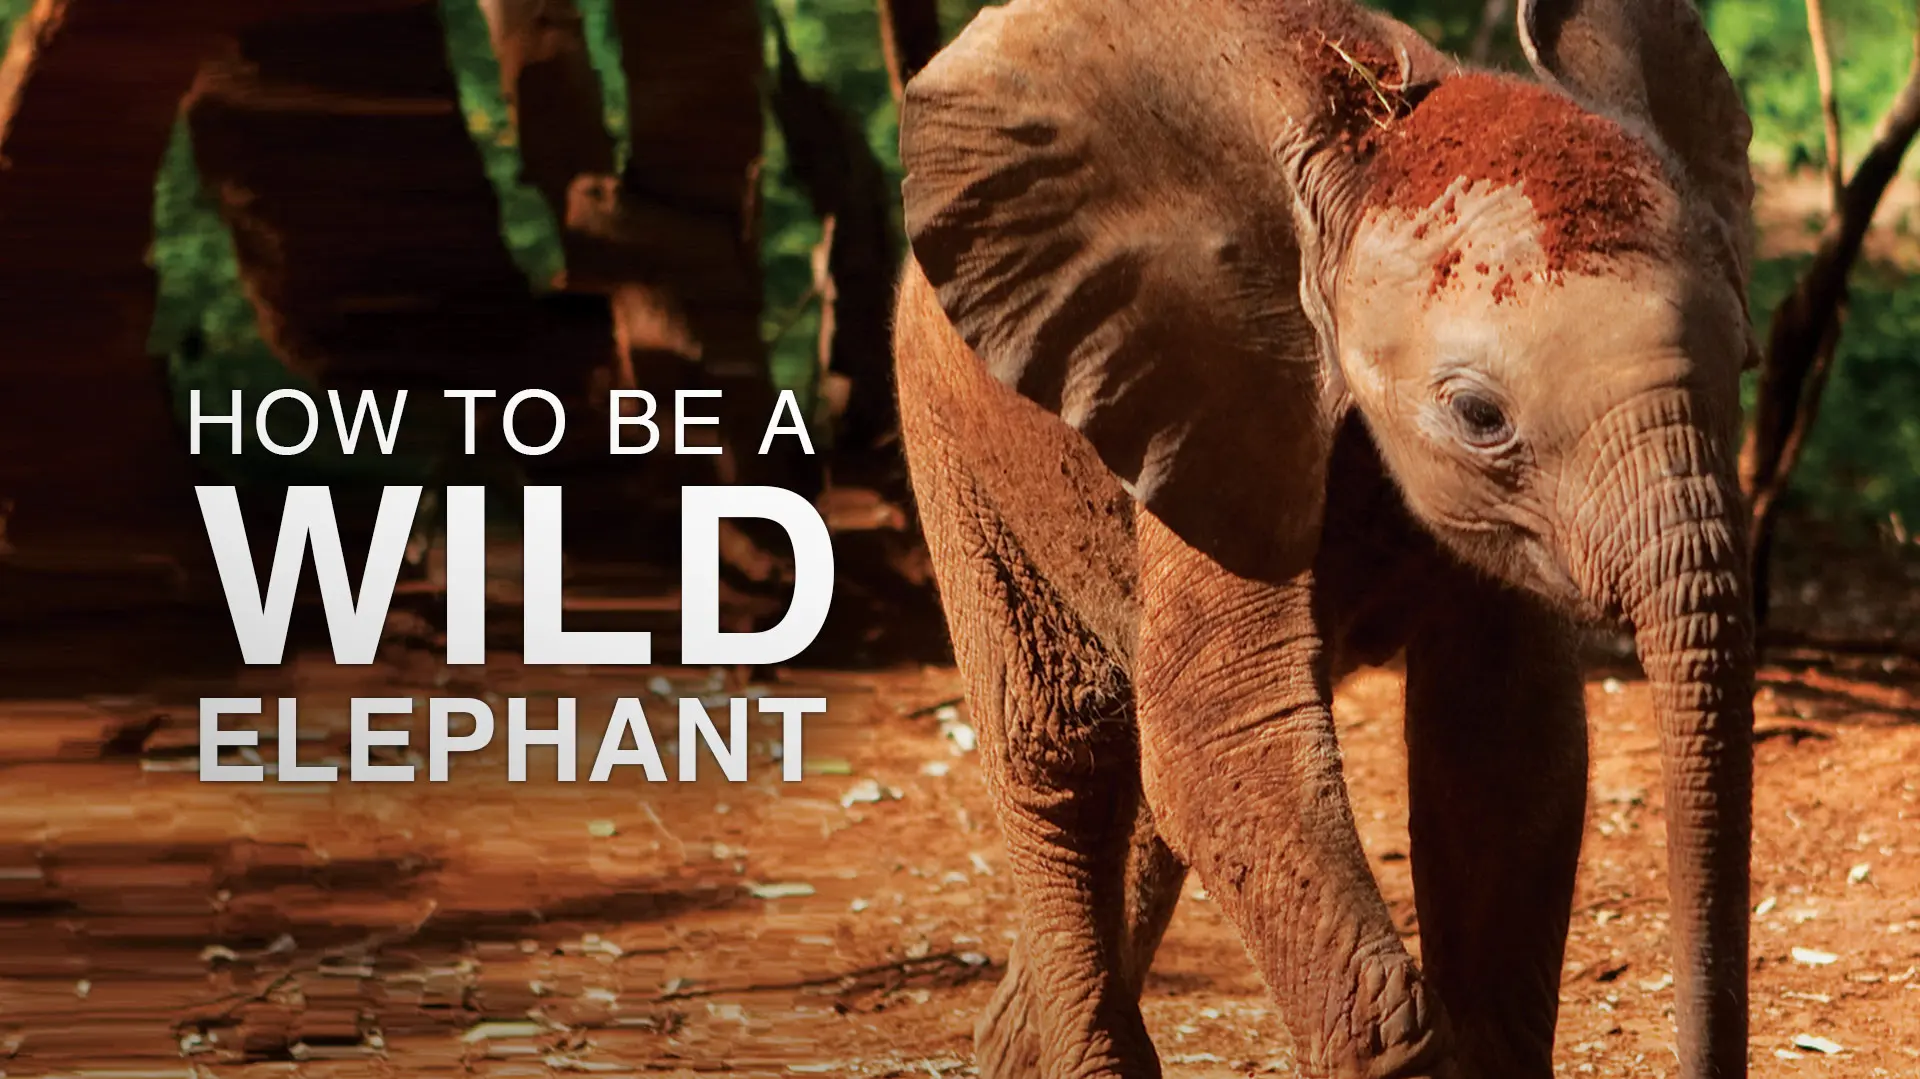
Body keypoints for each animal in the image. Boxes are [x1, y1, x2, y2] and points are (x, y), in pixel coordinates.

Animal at [889, 0, 1758, 1076]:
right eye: (1479, 415)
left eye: (1745, 365)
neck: (1372, 135)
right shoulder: (1219, 398)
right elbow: (1222, 732)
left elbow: (1506, 742)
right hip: (948, 420)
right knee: (1060, 759)